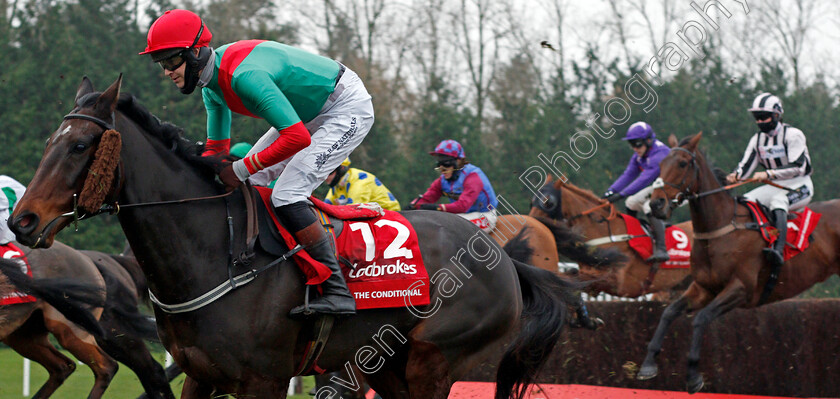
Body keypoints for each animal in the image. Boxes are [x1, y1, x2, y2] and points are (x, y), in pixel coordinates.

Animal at [636, 134, 840, 394]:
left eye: (682, 163)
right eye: (660, 165)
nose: (656, 205)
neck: (720, 228)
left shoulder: (741, 288)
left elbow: (701, 318)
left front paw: (693, 375)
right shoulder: (703, 288)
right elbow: (669, 313)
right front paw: (647, 365)